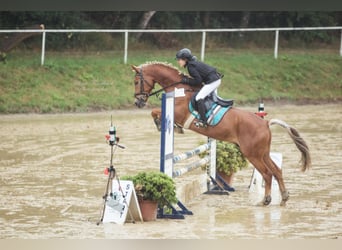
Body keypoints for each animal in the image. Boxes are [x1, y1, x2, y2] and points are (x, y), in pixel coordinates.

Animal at [132, 61, 312, 206]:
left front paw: (166, 126)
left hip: (252, 154)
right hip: (263, 153)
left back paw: (266, 200)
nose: (138, 102)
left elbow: (155, 112)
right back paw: (284, 197)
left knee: (267, 174)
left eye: (136, 81)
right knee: (276, 171)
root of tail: (265, 123)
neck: (178, 90)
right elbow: (155, 112)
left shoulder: (178, 113)